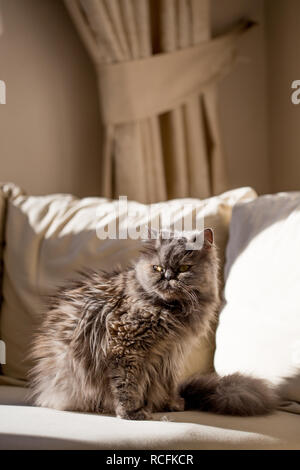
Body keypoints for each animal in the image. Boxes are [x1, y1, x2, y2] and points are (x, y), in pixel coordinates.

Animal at [29, 229, 278, 416]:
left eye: (184, 269)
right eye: (157, 268)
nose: (167, 276)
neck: (170, 310)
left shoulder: (171, 354)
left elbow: (168, 383)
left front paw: (172, 404)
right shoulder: (125, 345)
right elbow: (126, 384)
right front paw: (131, 413)